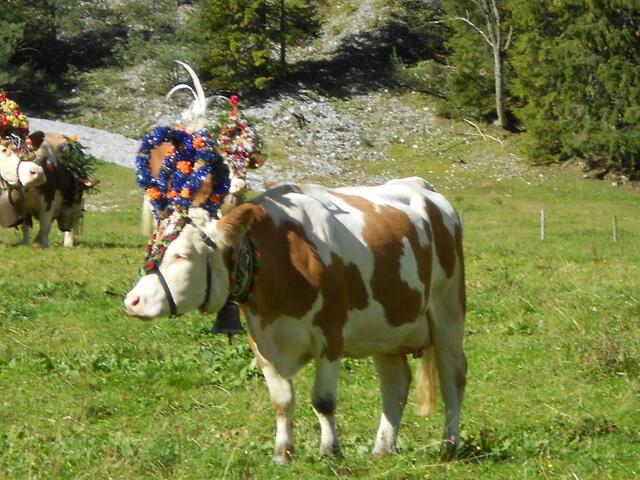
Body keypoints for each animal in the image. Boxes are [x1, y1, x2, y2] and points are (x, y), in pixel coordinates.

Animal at [124, 177, 466, 462]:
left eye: (182, 255)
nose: (132, 301)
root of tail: (425, 188)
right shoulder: (261, 341)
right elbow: (282, 400)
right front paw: (282, 453)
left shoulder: (330, 334)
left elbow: (323, 400)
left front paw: (329, 451)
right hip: (387, 328)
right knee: (395, 383)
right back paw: (382, 448)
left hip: (448, 311)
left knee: (453, 375)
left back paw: (449, 444)